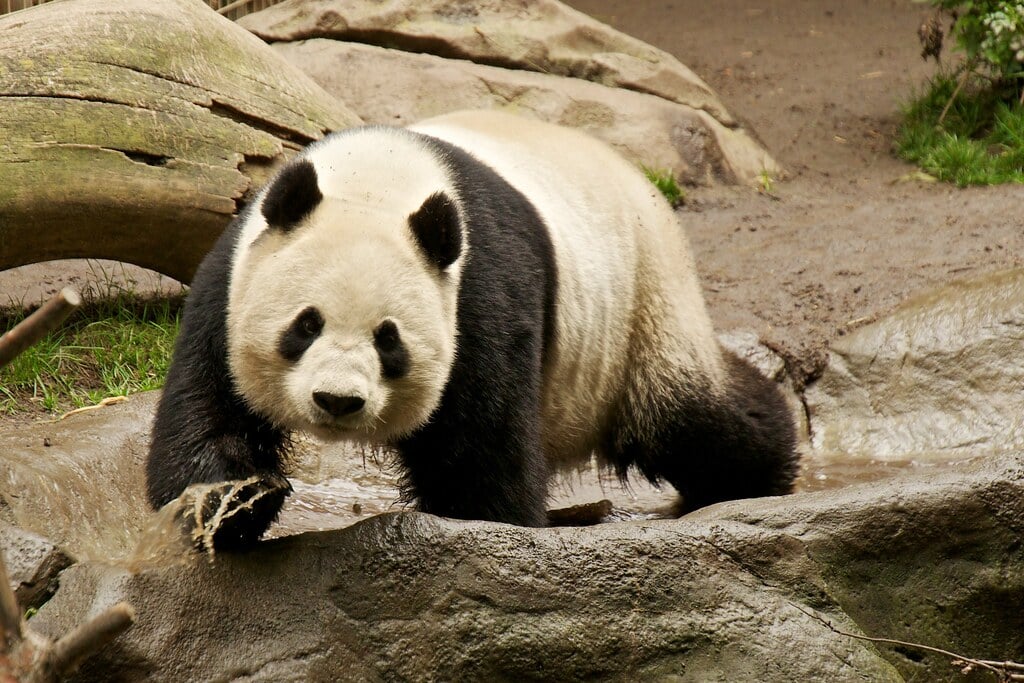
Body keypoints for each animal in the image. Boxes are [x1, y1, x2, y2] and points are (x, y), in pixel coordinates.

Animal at [146, 109, 798, 549]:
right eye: (305, 325)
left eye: (389, 339)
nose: (337, 401)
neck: (376, 181)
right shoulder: (233, 276)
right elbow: (210, 409)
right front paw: (228, 508)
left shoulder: (479, 289)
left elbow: (480, 448)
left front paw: (476, 535)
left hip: (641, 301)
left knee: (691, 417)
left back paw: (767, 468)